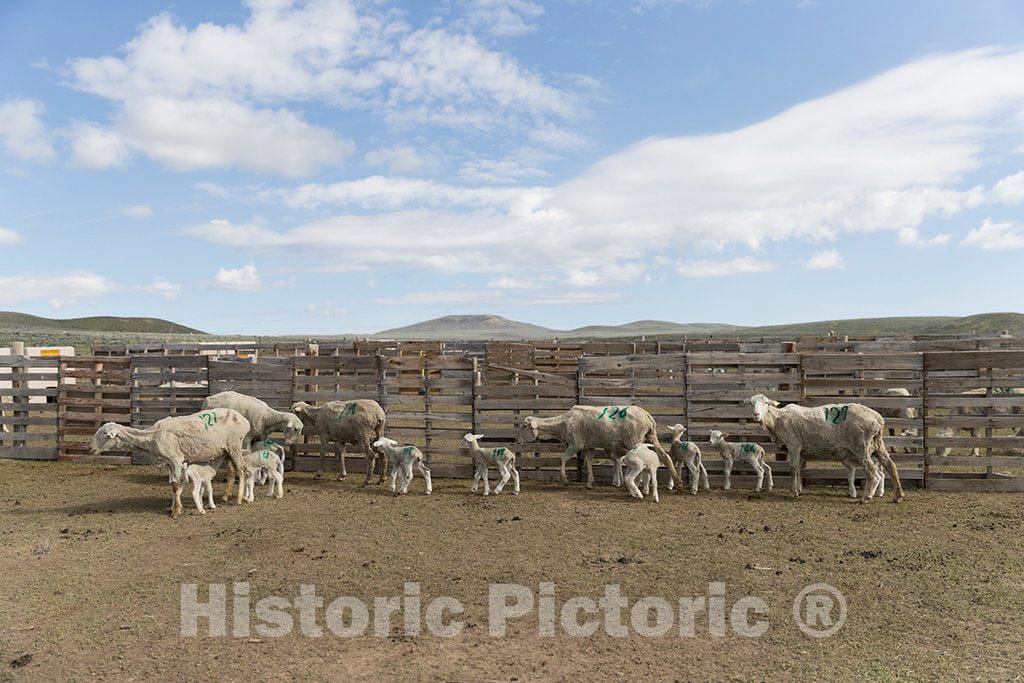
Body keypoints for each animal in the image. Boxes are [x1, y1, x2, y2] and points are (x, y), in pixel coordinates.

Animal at [90, 408, 251, 517]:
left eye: (104, 434)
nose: (90, 448)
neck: (152, 436)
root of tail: (244, 420)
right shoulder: (169, 462)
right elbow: (172, 484)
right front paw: (173, 507)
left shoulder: (176, 459)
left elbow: (175, 484)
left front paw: (177, 511)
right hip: (226, 450)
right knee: (233, 471)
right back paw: (227, 497)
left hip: (235, 445)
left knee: (242, 469)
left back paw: (239, 499)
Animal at [516, 405, 684, 491]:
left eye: (524, 426)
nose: (517, 440)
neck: (562, 423)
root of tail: (646, 415)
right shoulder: (587, 446)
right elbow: (589, 462)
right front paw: (590, 483)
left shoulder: (576, 444)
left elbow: (562, 459)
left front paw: (564, 480)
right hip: (651, 436)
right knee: (665, 457)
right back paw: (678, 483)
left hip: (634, 440)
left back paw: (636, 485)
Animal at [748, 394, 904, 503]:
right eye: (751, 403)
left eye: (765, 403)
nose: (756, 415)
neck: (777, 420)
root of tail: (877, 418)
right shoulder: (801, 451)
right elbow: (798, 469)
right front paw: (799, 490)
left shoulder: (794, 445)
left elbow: (792, 469)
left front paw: (792, 492)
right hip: (877, 444)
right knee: (891, 466)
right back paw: (898, 496)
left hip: (862, 446)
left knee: (873, 472)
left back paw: (866, 497)